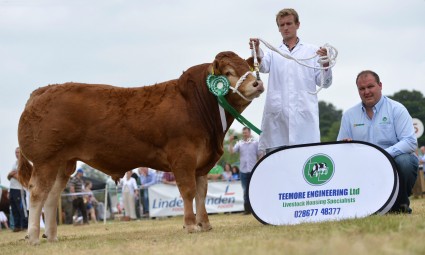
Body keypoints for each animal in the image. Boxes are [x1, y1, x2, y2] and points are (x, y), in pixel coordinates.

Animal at [18, 50, 264, 244]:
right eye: (229, 73)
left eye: (248, 68)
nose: (257, 83)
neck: (196, 104)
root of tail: (41, 92)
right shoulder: (183, 157)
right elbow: (188, 191)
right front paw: (191, 225)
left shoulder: (202, 162)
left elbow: (202, 193)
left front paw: (205, 223)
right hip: (46, 161)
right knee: (37, 193)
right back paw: (33, 236)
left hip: (63, 163)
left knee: (52, 196)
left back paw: (51, 236)